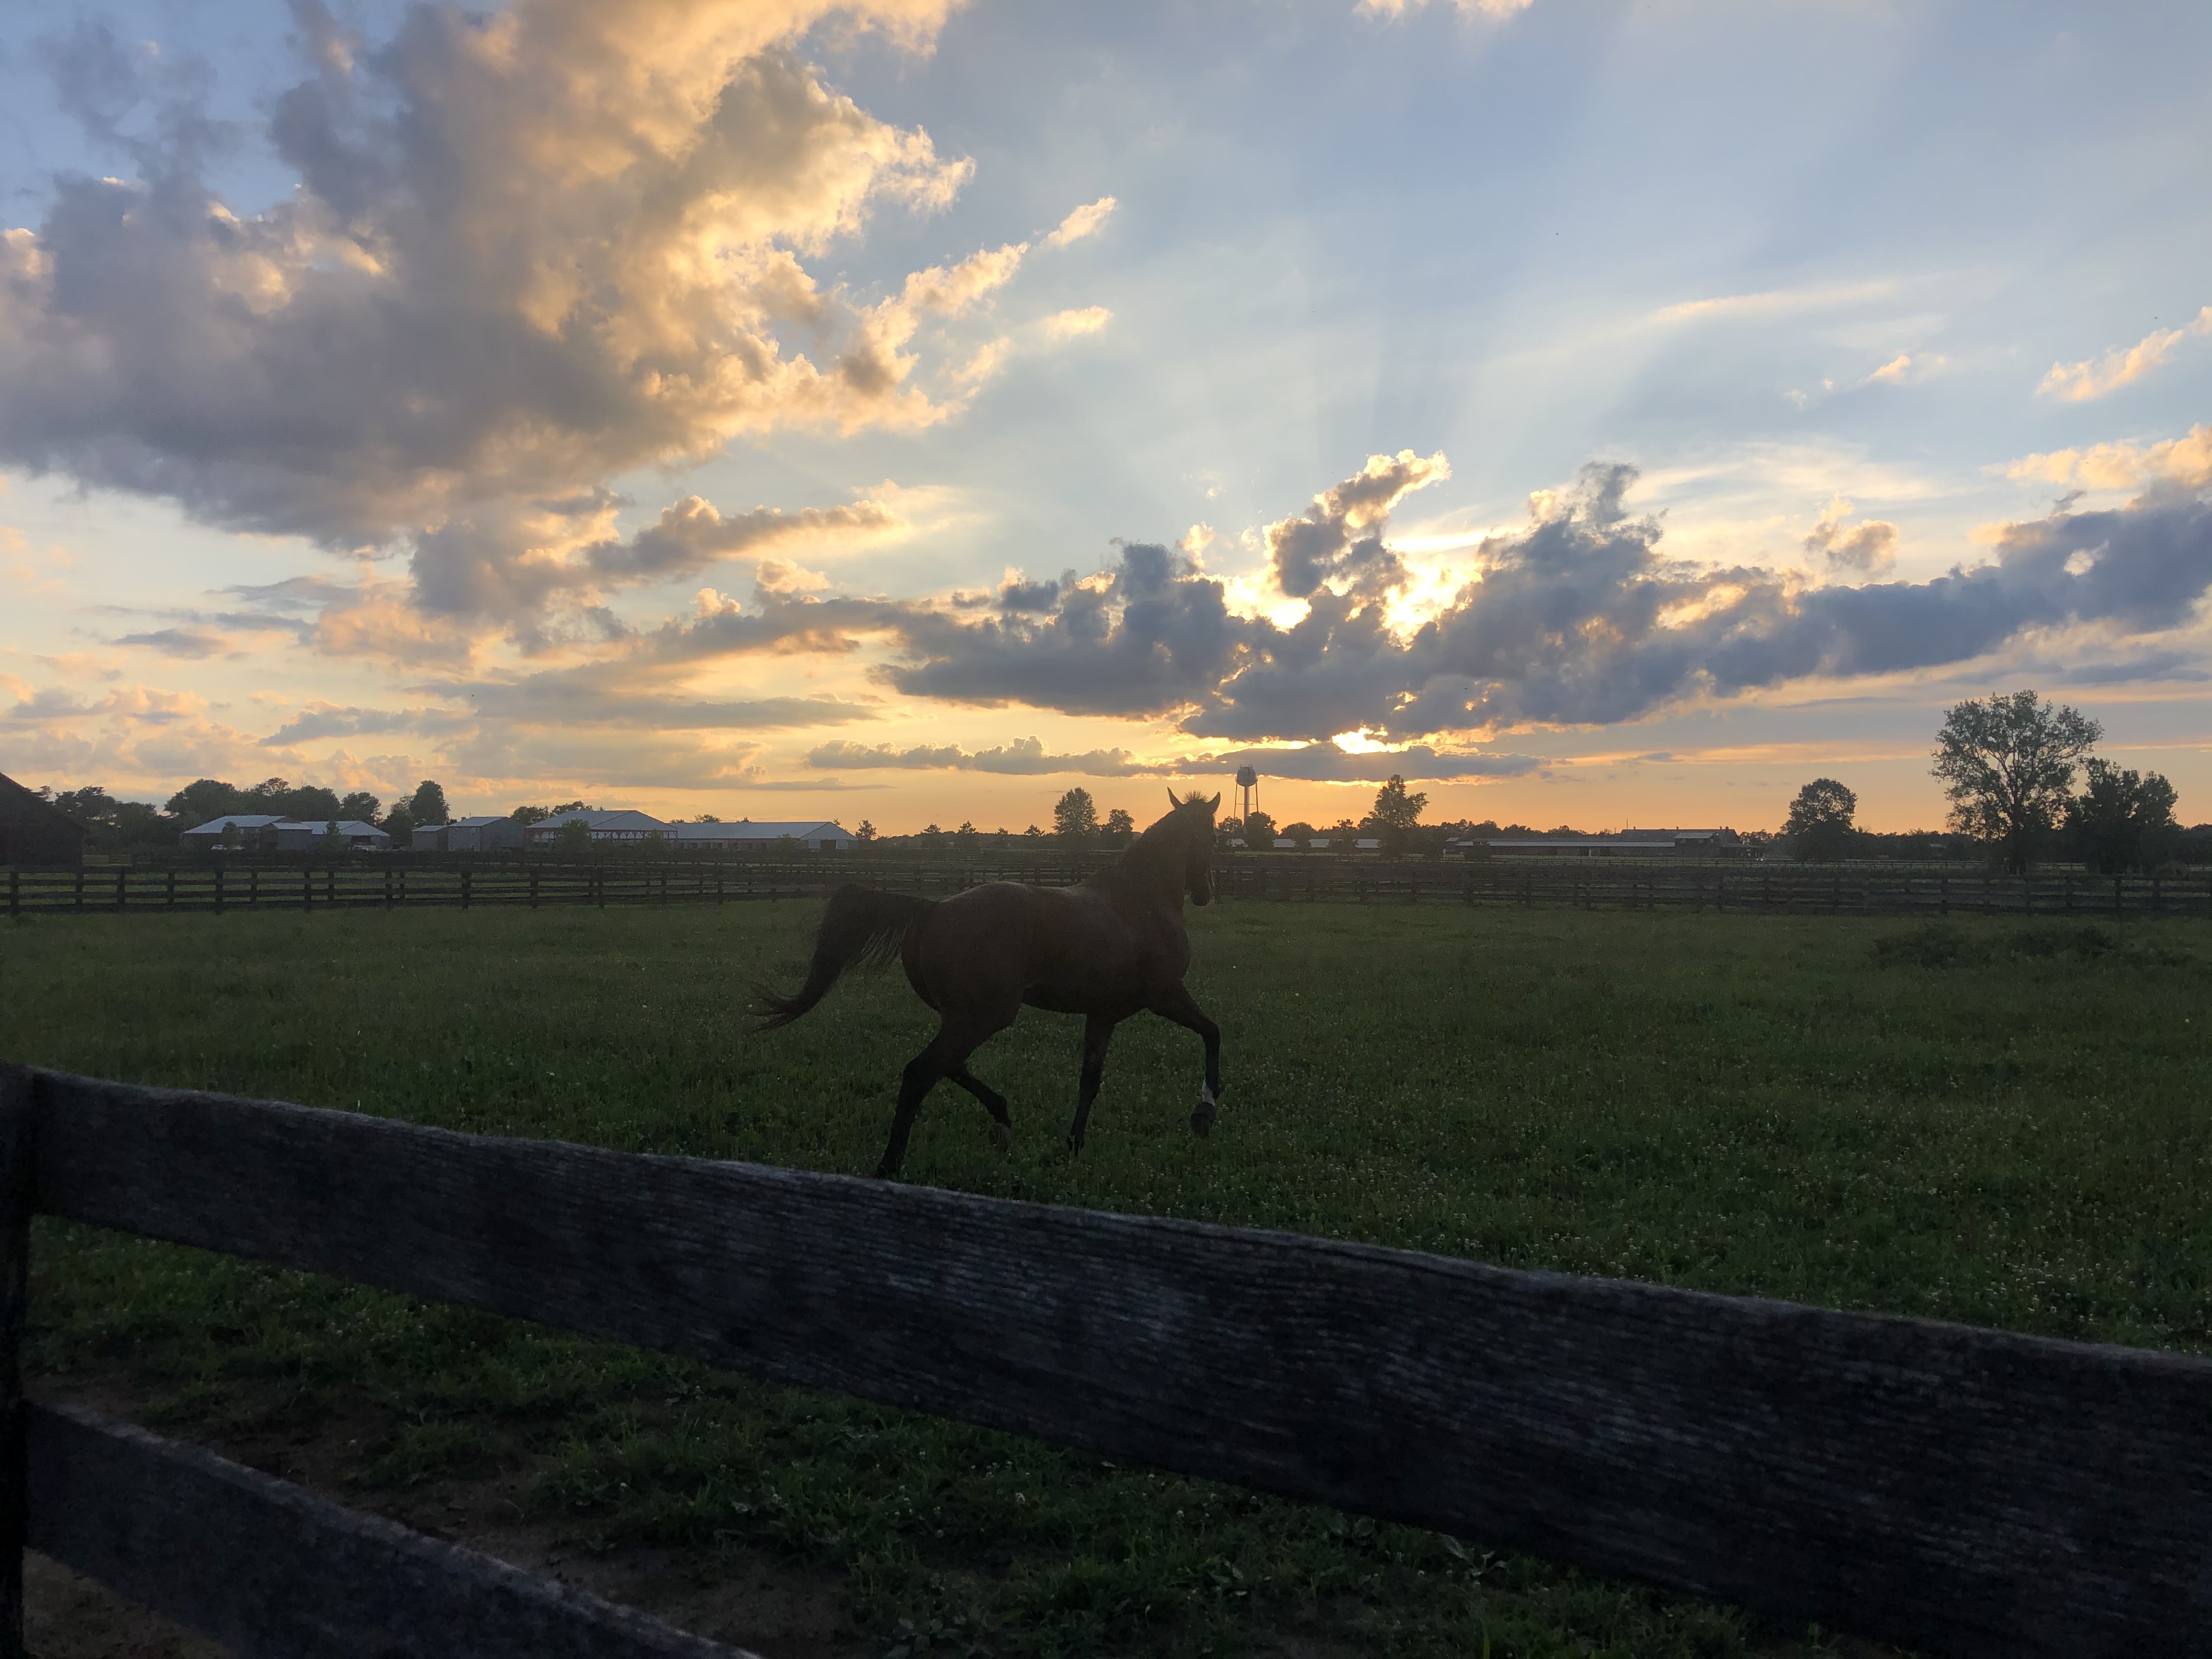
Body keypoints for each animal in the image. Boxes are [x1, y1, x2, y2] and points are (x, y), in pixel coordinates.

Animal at [753, 790, 1225, 1179]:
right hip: (984, 1017)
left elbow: (1090, 1080)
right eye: (1213, 834)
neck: (1142, 900)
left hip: (965, 1016)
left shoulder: (1103, 1014)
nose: (1205, 893)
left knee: (951, 1067)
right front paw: (1204, 1113)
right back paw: (891, 1165)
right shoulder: (1165, 995)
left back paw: (1001, 1121)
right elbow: (1212, 1032)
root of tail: (932, 910)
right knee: (922, 1072)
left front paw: (1073, 1144)